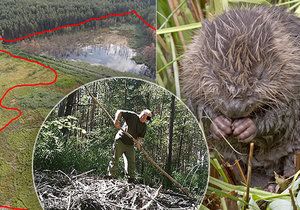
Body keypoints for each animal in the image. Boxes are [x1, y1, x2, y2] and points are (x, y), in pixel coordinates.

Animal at [180, 6, 300, 187]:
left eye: (260, 75)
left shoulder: (293, 73)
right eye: (215, 72)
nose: (235, 108)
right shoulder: (190, 72)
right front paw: (220, 125)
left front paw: (246, 127)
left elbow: (284, 113)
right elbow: (196, 104)